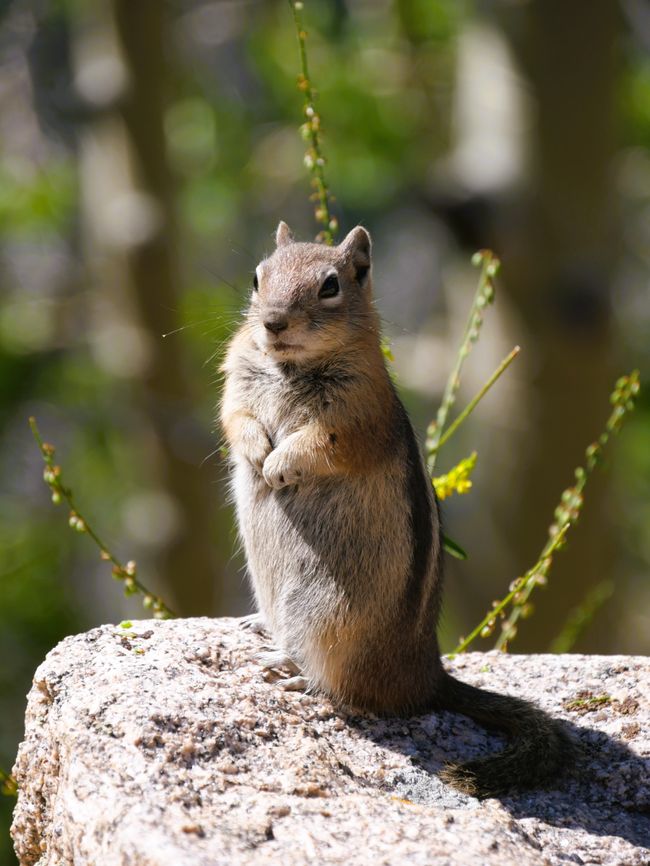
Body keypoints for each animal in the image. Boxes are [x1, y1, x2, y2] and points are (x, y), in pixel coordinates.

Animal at [220, 223, 568, 796]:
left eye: (331, 285)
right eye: (256, 277)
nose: (271, 322)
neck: (289, 366)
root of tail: (425, 675)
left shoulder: (355, 417)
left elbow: (319, 444)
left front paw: (279, 466)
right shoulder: (236, 380)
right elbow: (236, 417)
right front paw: (257, 452)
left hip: (327, 617)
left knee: (347, 692)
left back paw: (291, 671)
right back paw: (259, 628)